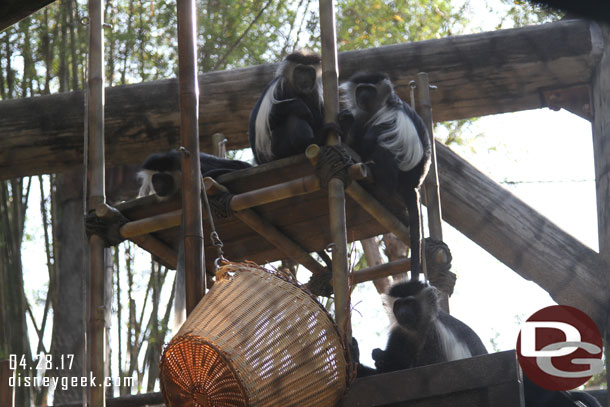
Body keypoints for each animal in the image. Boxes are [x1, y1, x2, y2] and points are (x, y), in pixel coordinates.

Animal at [338, 73, 432, 282]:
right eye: (360, 89)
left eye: (370, 89)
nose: (363, 95)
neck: (380, 106)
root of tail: (414, 182)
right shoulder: (362, 115)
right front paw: (345, 122)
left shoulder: (390, 116)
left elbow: (370, 139)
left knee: (383, 148)